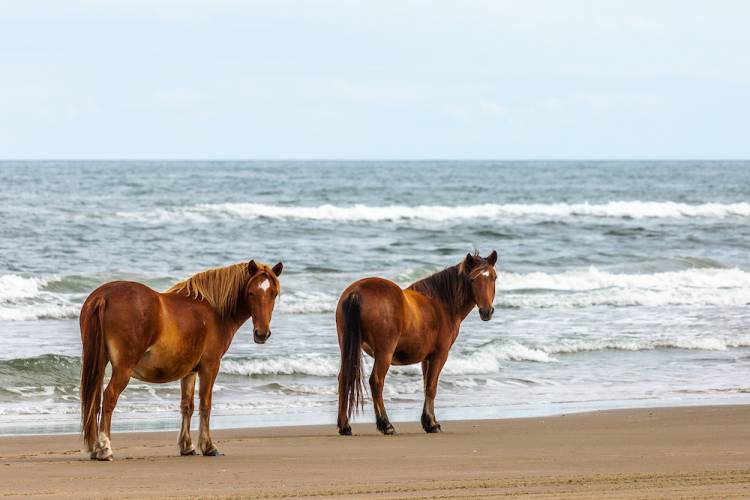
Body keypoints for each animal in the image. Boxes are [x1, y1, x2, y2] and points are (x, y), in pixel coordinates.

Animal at [80, 262, 284, 460]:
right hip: (123, 369)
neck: (213, 311)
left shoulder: (189, 371)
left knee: (94, 400)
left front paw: (187, 446)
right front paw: (209, 446)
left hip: (99, 362)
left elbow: (187, 406)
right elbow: (205, 404)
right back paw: (104, 448)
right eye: (251, 293)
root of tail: (104, 296)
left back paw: (96, 448)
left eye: (273, 293)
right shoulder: (210, 367)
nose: (262, 334)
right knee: (109, 397)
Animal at [338, 252, 496, 436]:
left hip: (347, 347)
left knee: (344, 378)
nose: (486, 311)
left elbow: (426, 385)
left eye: (494, 277)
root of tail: (356, 292)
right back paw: (386, 425)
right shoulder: (439, 355)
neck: (441, 304)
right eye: (472, 280)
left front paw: (428, 422)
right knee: (376, 382)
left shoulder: (426, 358)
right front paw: (433, 424)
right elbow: (431, 387)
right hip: (384, 353)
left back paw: (345, 426)